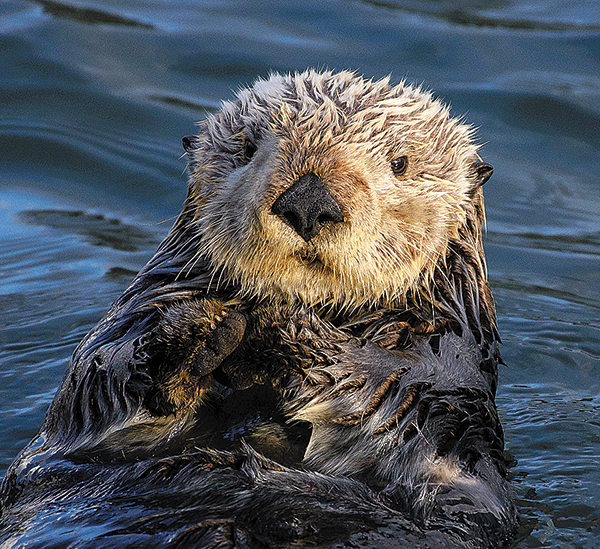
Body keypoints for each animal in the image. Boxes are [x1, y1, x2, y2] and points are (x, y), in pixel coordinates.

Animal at [0, 70, 516, 544]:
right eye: (247, 148)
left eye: (400, 162)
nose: (308, 201)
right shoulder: (133, 318)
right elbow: (96, 381)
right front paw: (199, 332)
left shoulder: (446, 372)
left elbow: (393, 395)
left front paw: (272, 328)